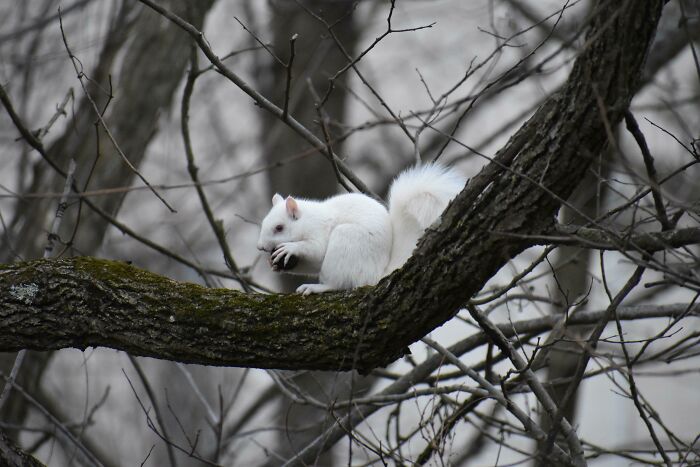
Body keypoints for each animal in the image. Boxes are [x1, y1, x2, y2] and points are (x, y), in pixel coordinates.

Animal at [256, 165, 464, 296]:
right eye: (264, 222)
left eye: (279, 228)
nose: (260, 247)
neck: (306, 220)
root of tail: (376, 275)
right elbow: (311, 264)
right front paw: (275, 264)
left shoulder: (319, 231)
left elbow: (316, 250)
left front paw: (291, 248)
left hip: (345, 241)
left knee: (339, 283)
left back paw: (317, 288)